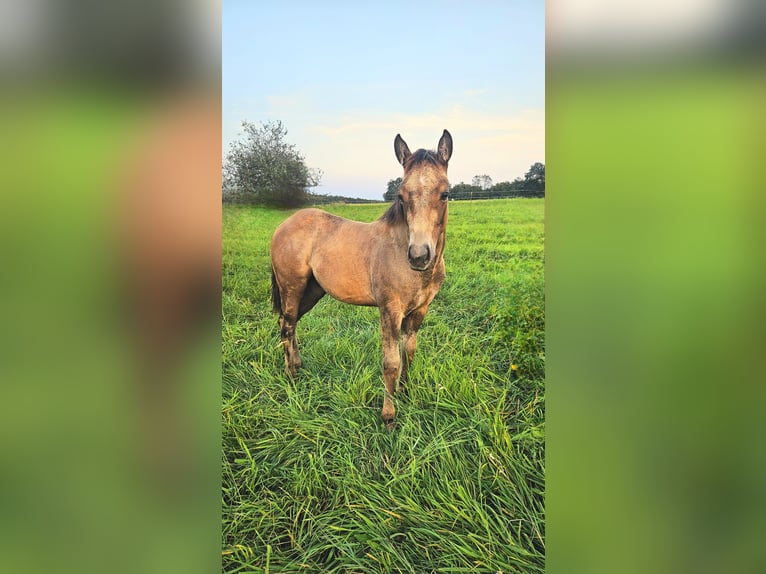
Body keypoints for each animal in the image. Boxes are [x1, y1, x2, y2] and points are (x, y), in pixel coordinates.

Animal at [270, 132, 452, 428]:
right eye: (401, 195)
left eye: (445, 194)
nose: (419, 256)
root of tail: (284, 225)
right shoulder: (390, 309)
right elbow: (391, 362)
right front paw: (389, 416)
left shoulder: (420, 310)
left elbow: (409, 353)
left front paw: (405, 393)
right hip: (292, 287)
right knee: (286, 326)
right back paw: (291, 376)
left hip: (312, 290)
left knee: (291, 323)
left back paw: (297, 366)